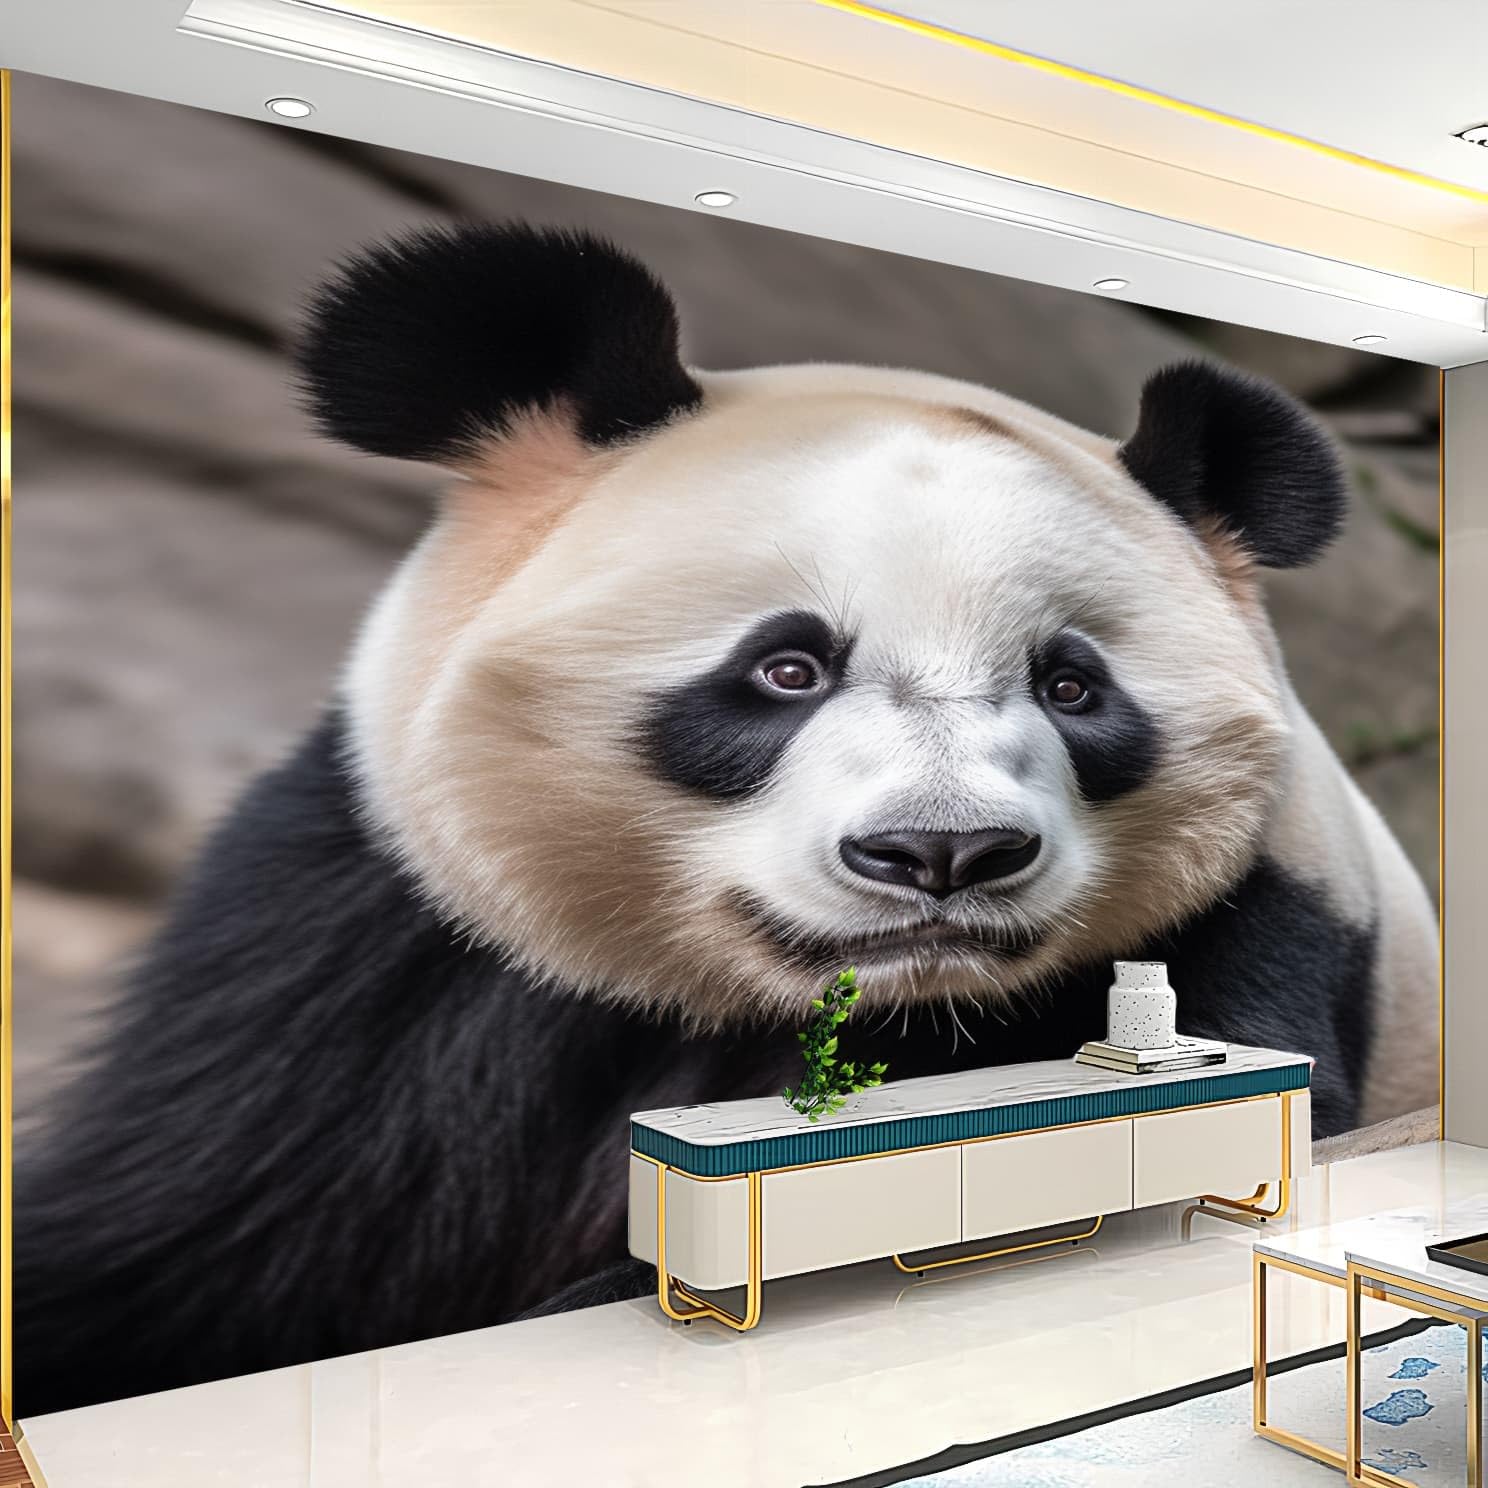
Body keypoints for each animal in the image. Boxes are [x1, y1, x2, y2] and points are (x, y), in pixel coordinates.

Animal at [17, 223, 1438, 1415]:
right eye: (786, 667)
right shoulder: (380, 969)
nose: (942, 853)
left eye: (1072, 685)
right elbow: (178, 1234)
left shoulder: (1266, 910)